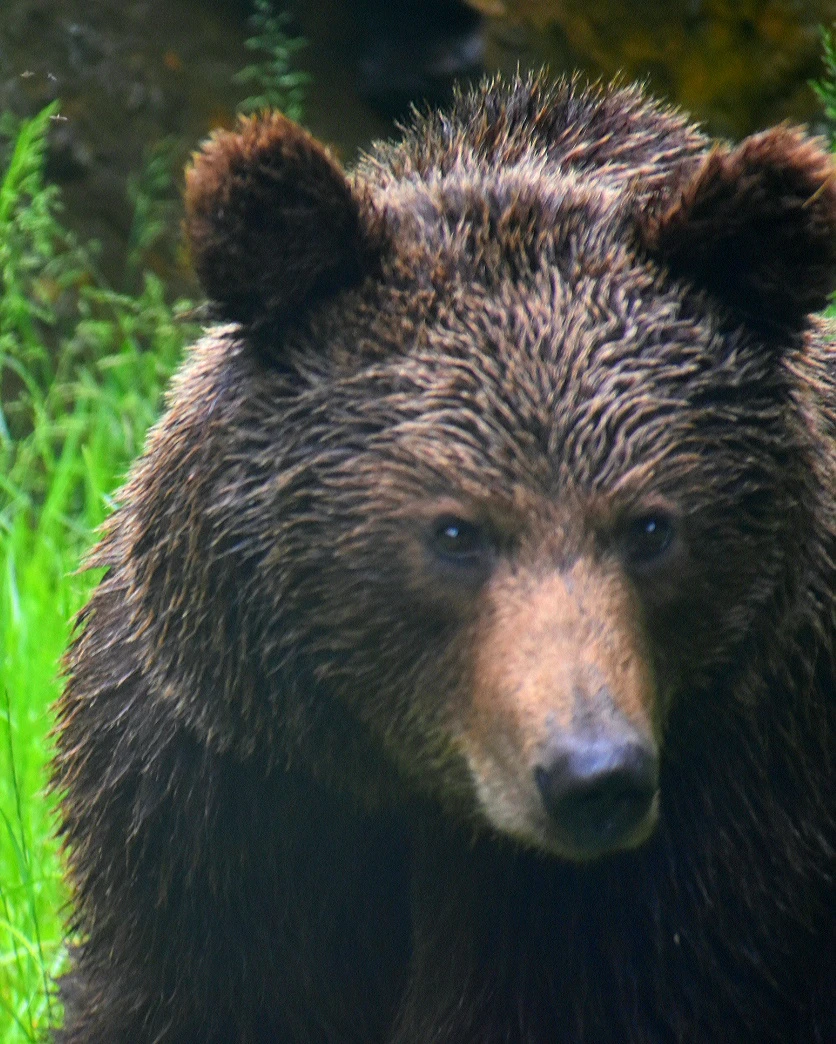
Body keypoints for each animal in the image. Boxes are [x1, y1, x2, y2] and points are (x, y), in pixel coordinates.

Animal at [53, 74, 836, 1042]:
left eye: (652, 527)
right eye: (456, 531)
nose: (593, 774)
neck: (417, 793)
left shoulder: (714, 828)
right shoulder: (219, 795)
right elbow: (188, 989)